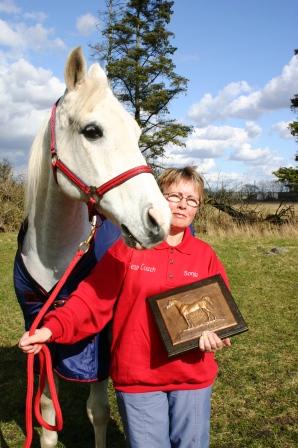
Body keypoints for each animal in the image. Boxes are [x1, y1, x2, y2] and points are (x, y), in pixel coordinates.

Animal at [15, 48, 170, 448]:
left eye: (136, 132)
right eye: (92, 131)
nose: (159, 219)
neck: (55, 258)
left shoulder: (96, 342)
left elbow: (97, 411)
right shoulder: (40, 335)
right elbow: (47, 416)